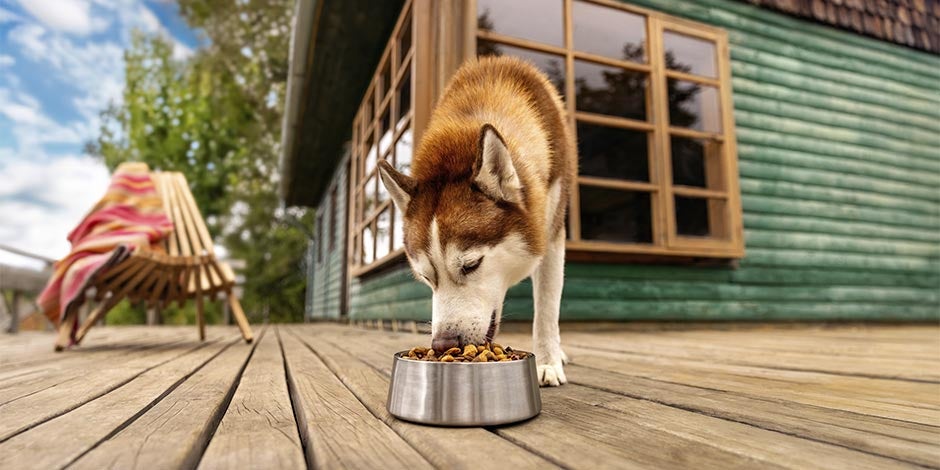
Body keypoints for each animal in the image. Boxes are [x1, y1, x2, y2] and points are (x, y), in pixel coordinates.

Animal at [378, 56, 576, 386]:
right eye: (426, 277)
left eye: (471, 265)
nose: (442, 344)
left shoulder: (550, 232)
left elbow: (547, 308)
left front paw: (547, 361)